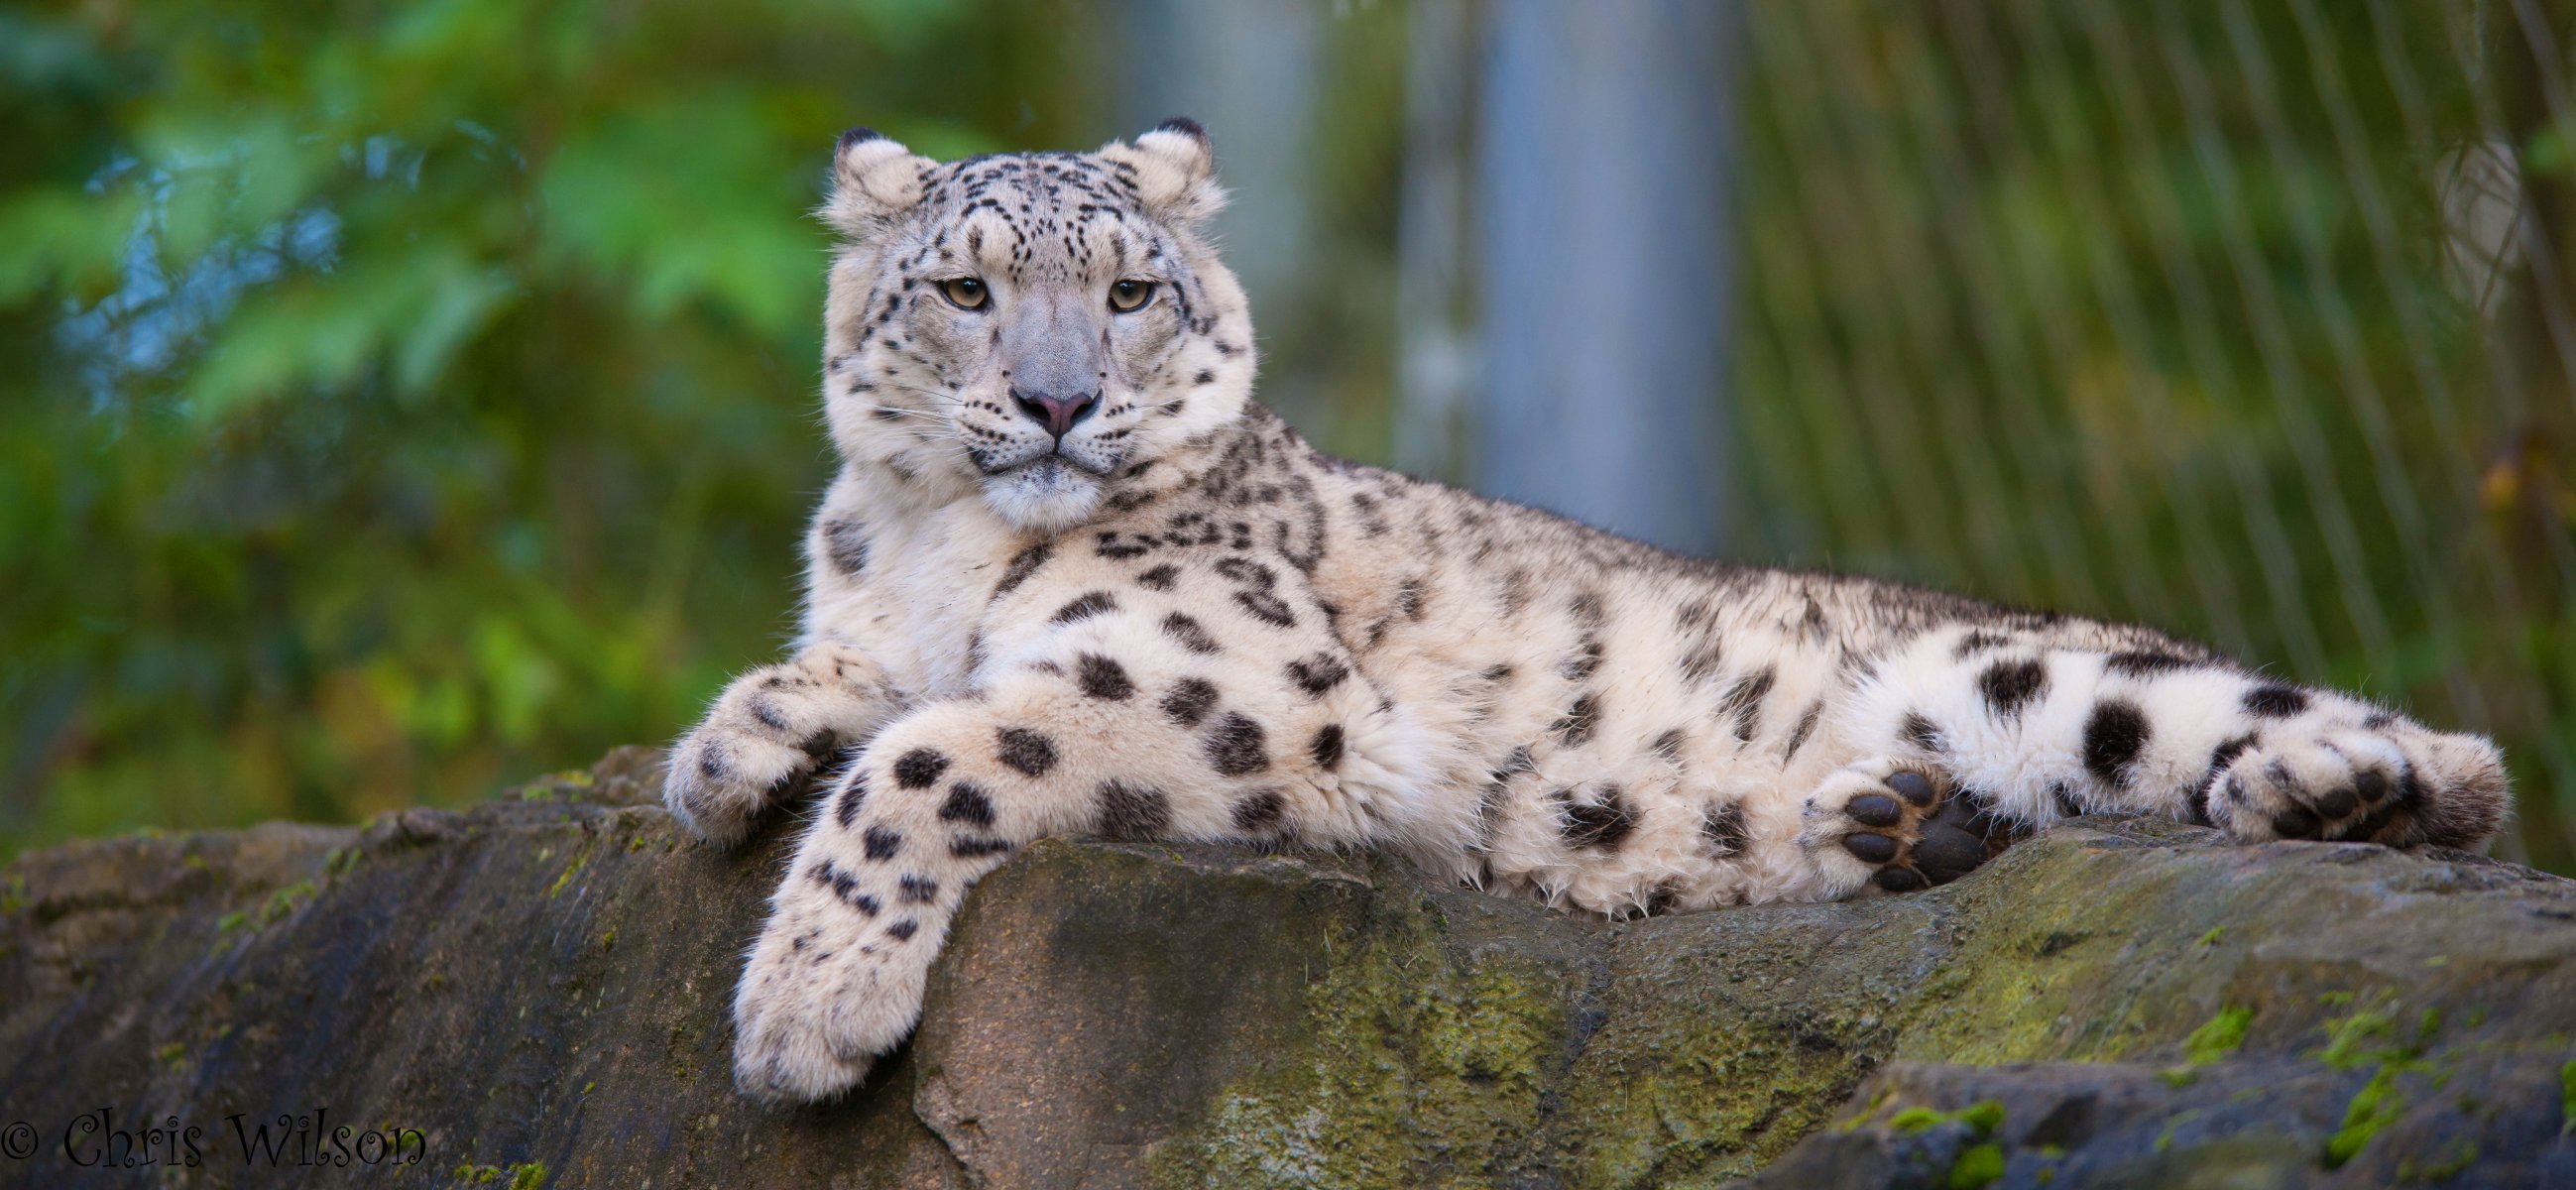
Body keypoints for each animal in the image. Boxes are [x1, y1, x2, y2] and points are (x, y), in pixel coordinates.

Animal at [662, 119, 2511, 1105]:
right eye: (966, 288)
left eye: (1127, 293)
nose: (1057, 405)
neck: (926, 540)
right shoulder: (892, 616)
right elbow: (862, 686)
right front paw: (728, 753)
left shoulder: (1235, 679)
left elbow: (929, 757)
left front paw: (806, 1005)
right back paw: (1896, 823)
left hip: (2055, 677)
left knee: (2429, 766)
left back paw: (2319, 789)